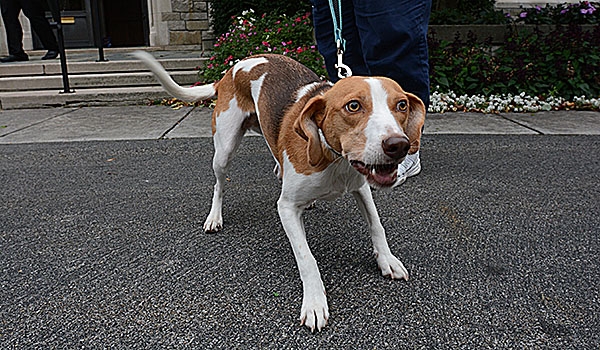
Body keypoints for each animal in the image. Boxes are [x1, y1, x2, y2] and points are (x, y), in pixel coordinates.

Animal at [136, 51, 426, 330]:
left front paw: (386, 260)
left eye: (401, 105)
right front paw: (314, 303)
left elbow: (377, 225)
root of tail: (232, 70)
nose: (399, 145)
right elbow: (306, 257)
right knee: (219, 184)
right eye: (353, 106)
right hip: (224, 150)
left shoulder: (361, 186)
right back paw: (214, 217)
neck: (334, 158)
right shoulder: (285, 208)